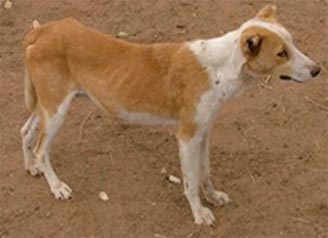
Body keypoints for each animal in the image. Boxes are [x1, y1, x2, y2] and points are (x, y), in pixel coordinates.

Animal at [21, 5, 322, 225]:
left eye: (293, 43)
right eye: (282, 53)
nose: (317, 70)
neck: (220, 68)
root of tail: (43, 30)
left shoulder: (204, 132)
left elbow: (205, 171)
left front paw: (212, 197)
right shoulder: (187, 137)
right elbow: (191, 181)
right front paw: (199, 214)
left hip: (47, 105)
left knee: (25, 132)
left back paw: (32, 167)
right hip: (57, 110)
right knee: (41, 149)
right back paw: (56, 186)